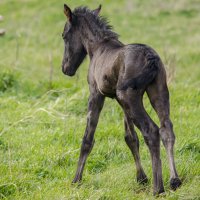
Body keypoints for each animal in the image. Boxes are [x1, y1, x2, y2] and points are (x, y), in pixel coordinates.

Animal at [61, 4, 181, 195]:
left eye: (64, 36)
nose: (65, 68)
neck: (97, 48)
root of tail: (151, 58)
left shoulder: (96, 94)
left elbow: (88, 138)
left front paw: (76, 180)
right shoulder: (119, 101)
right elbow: (130, 138)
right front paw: (141, 178)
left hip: (130, 96)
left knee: (151, 130)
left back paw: (158, 188)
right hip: (158, 91)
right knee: (166, 128)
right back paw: (174, 180)